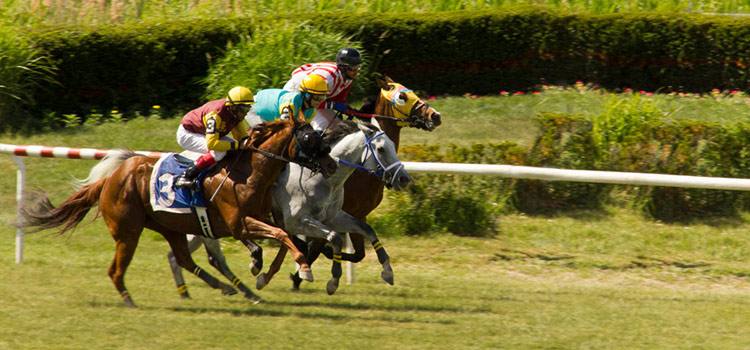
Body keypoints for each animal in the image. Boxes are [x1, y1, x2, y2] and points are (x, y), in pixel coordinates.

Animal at [20, 119, 338, 308]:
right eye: (309, 138)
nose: (332, 165)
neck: (250, 174)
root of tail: (109, 180)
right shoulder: (238, 223)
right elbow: (281, 235)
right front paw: (295, 267)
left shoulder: (261, 218)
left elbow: (287, 237)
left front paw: (272, 269)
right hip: (128, 232)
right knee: (116, 270)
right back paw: (130, 300)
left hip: (169, 226)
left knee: (183, 258)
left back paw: (227, 288)